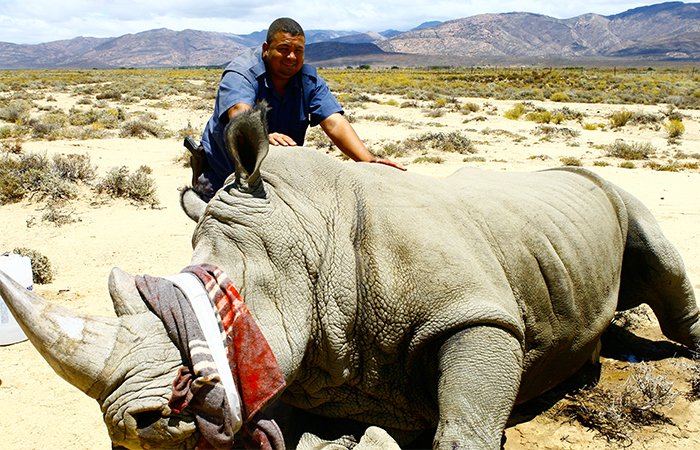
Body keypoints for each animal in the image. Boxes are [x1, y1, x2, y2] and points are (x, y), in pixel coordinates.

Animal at [1, 103, 699, 449]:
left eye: (221, 313)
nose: (130, 426)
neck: (312, 235)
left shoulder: (477, 313)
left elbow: (465, 425)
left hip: (611, 191)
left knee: (662, 267)